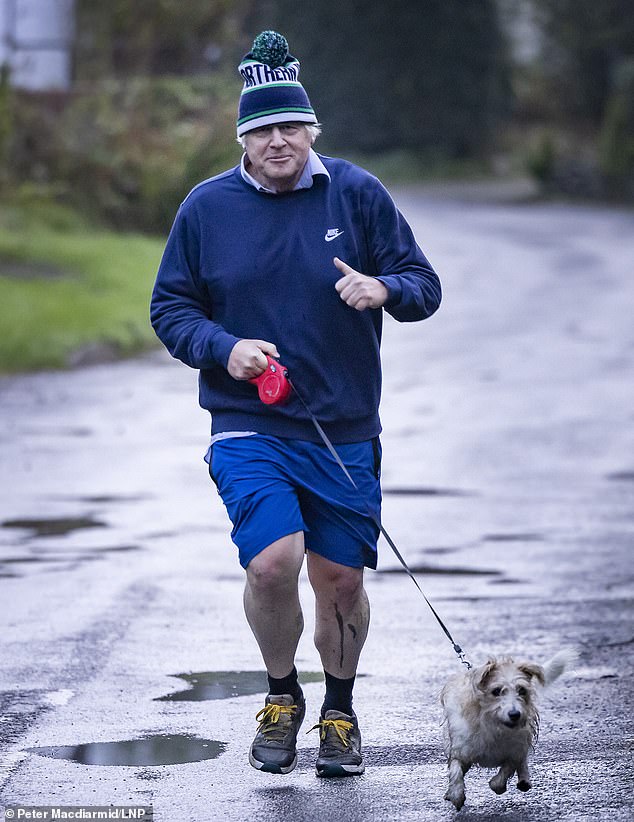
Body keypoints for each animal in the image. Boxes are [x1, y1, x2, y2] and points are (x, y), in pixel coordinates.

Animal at [440, 652, 572, 816]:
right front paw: (456, 794)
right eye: (496, 691)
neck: (494, 725)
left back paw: (524, 780)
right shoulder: (462, 750)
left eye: (522, 690)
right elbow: (456, 770)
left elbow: (505, 772)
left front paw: (498, 785)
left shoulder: (515, 750)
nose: (515, 714)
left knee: (523, 761)